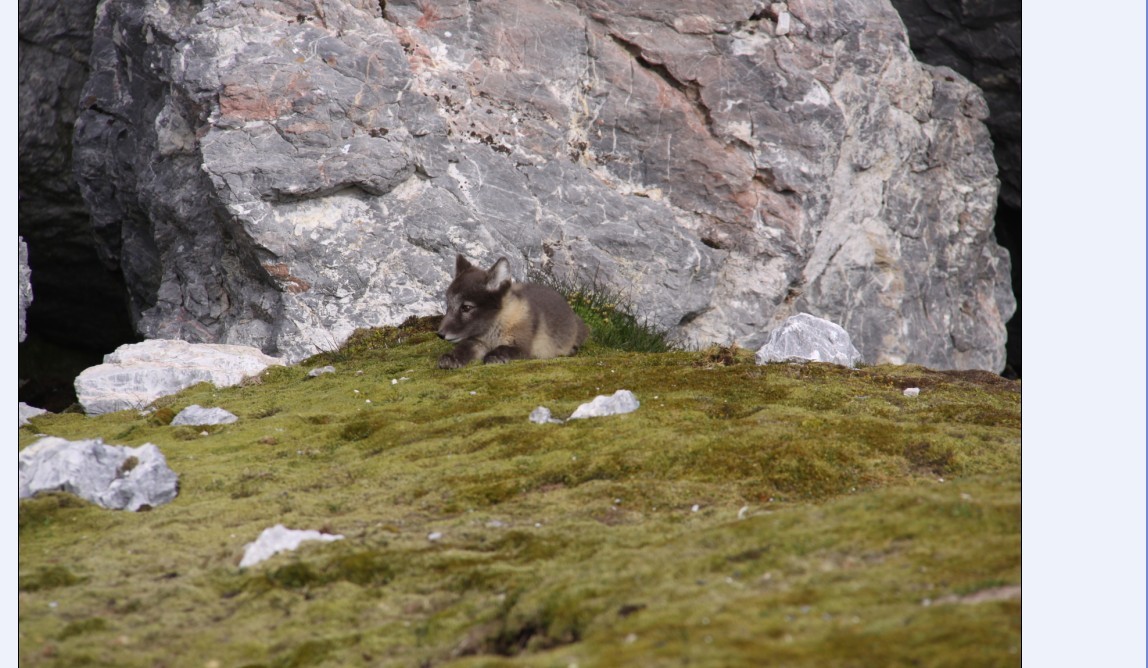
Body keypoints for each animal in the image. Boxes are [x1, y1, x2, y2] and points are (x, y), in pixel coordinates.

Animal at [433, 257, 587, 371]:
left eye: (466, 307)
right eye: (448, 305)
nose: (440, 334)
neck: (492, 333)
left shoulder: (524, 349)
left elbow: (503, 349)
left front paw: (493, 357)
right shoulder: (477, 342)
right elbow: (463, 348)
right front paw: (451, 358)